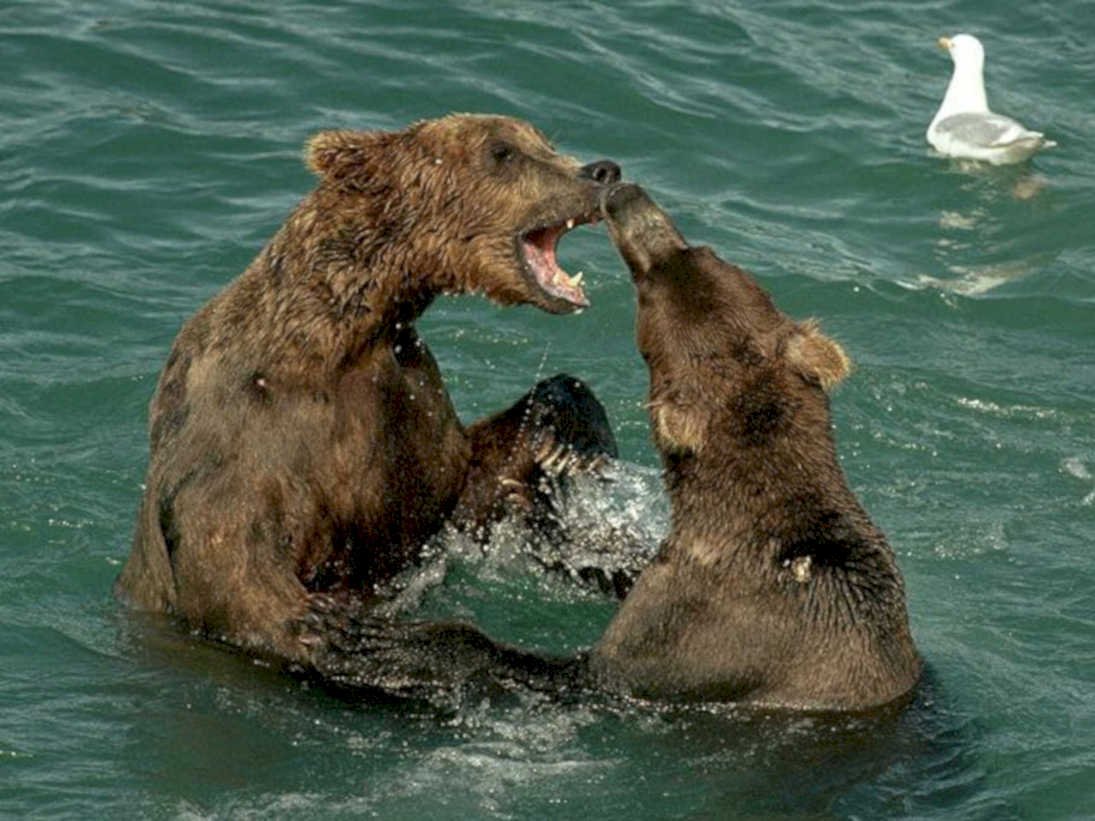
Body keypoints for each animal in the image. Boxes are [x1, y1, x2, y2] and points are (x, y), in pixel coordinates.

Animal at [114, 114, 622, 670]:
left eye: (545, 143)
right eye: (502, 152)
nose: (603, 170)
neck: (343, 340)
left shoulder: (407, 404)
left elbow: (467, 484)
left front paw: (568, 439)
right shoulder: (241, 456)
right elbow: (256, 591)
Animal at [328, 183, 921, 713]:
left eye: (647, 287)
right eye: (705, 251)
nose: (627, 197)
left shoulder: (701, 627)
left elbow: (582, 671)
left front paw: (382, 643)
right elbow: (613, 562)